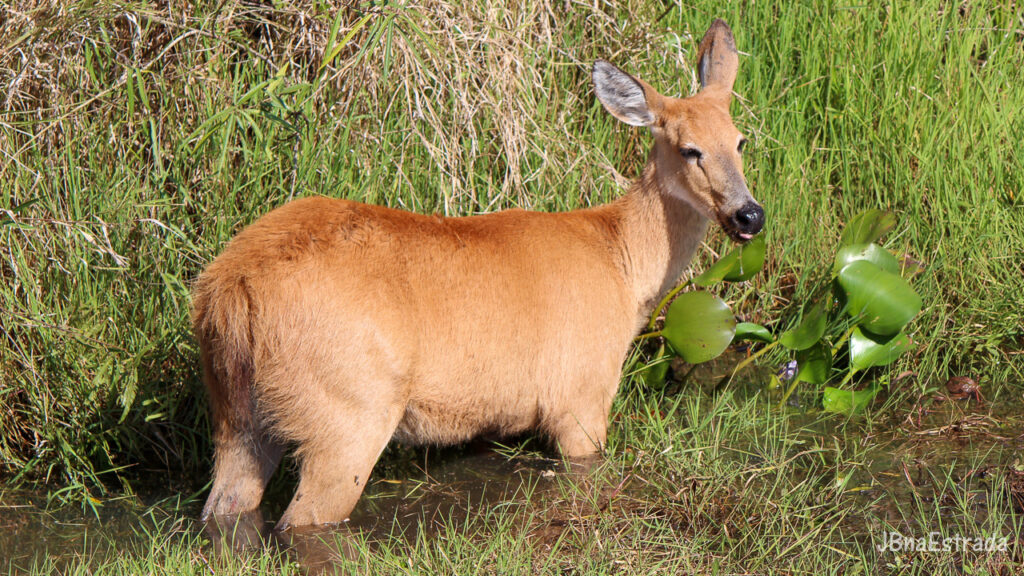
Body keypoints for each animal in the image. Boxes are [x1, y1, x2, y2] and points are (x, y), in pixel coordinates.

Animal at [192, 19, 763, 531]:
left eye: (739, 141)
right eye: (689, 149)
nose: (749, 215)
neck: (623, 264)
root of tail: (231, 290)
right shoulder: (582, 393)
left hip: (234, 409)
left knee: (225, 510)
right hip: (347, 410)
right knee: (302, 521)